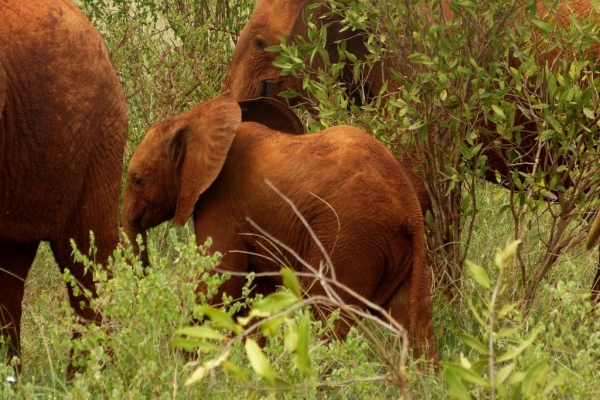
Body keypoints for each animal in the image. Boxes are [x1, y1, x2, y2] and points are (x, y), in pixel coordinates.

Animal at [122, 94, 438, 368]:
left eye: (137, 180)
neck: (194, 118)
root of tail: (409, 208)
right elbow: (255, 293)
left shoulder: (221, 204)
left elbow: (221, 281)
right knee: (414, 320)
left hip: (349, 238)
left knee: (327, 317)